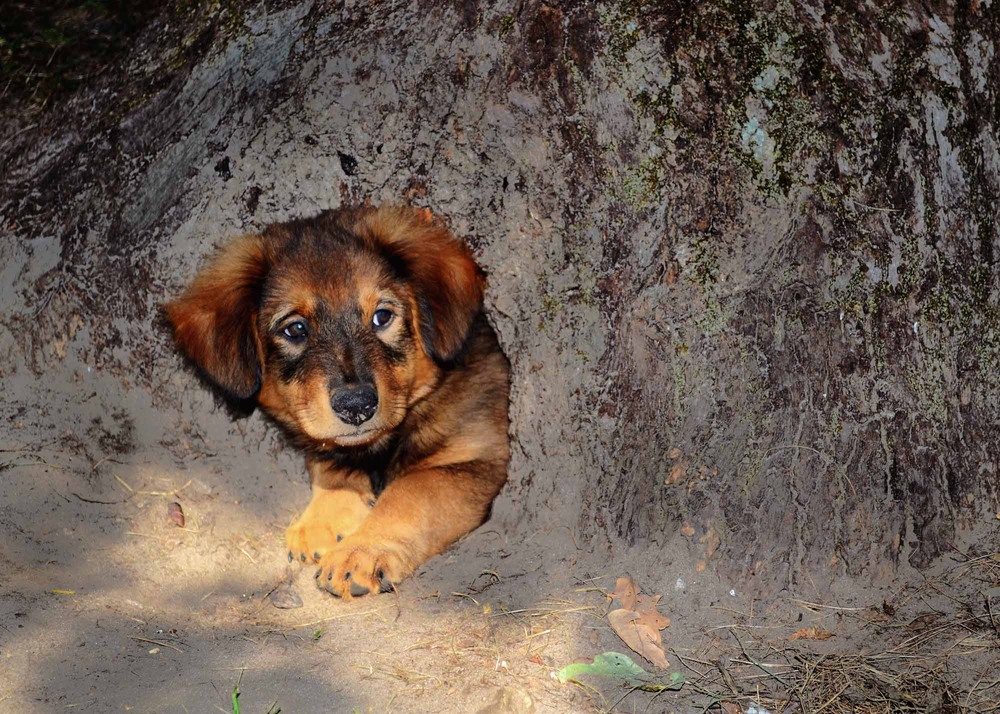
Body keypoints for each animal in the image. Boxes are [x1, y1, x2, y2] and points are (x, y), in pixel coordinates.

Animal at [167, 206, 508, 596]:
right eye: (295, 329)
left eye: (382, 316)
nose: (356, 406)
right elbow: (327, 455)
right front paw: (324, 518)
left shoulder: (478, 460)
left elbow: (410, 493)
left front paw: (361, 552)